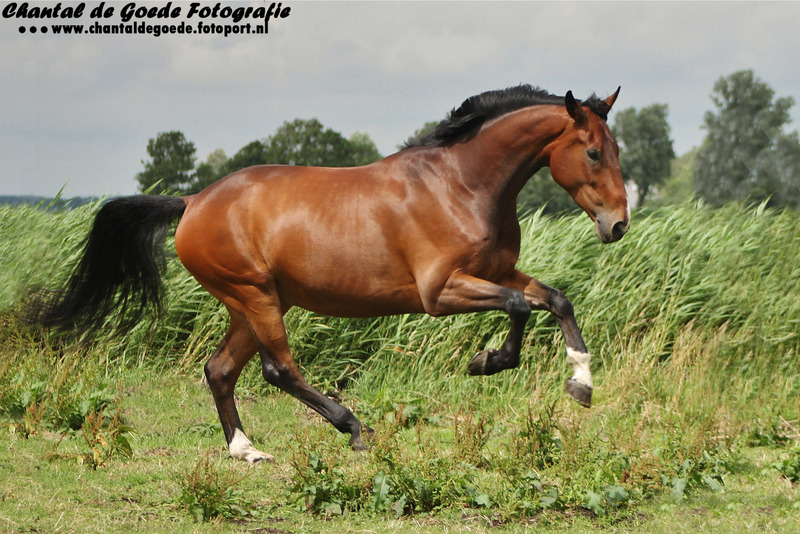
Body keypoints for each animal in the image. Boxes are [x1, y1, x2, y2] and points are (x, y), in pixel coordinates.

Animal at [33, 85, 629, 463]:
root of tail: (193, 201)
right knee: (277, 370)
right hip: (255, 296)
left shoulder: (499, 270)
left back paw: (247, 450)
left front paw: (581, 384)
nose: (618, 224)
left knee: (220, 370)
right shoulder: (440, 291)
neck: (462, 184)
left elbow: (556, 298)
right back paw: (354, 429)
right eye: (593, 152)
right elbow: (519, 306)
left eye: (616, 149)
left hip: (256, 302)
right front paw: (486, 362)